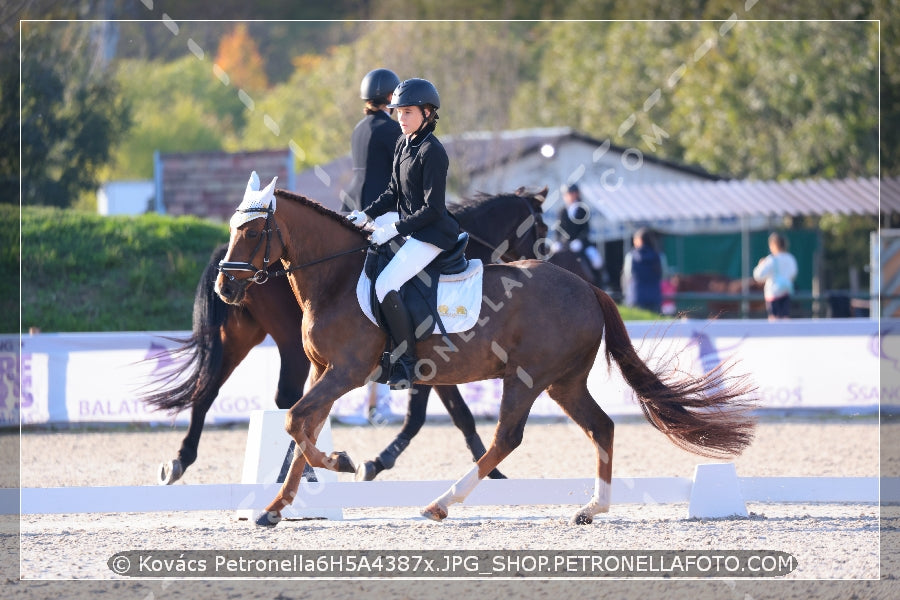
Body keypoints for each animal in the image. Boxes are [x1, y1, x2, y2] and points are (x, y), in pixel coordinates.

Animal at [142, 186, 548, 482]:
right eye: (542, 230)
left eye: (253, 231)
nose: (224, 285)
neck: (337, 275)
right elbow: (447, 415)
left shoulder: (425, 363)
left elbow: (439, 415)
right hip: (285, 342)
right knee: (279, 398)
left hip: (241, 334)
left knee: (208, 389)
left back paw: (181, 460)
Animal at [214, 185, 756, 528]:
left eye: (252, 233)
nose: (226, 287)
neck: (338, 279)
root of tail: (586, 286)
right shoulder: (323, 372)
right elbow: (299, 427)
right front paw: (275, 507)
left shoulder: (347, 371)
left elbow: (296, 423)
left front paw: (343, 462)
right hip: (564, 382)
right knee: (600, 426)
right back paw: (591, 509)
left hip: (526, 378)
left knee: (507, 438)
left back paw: (440, 503)